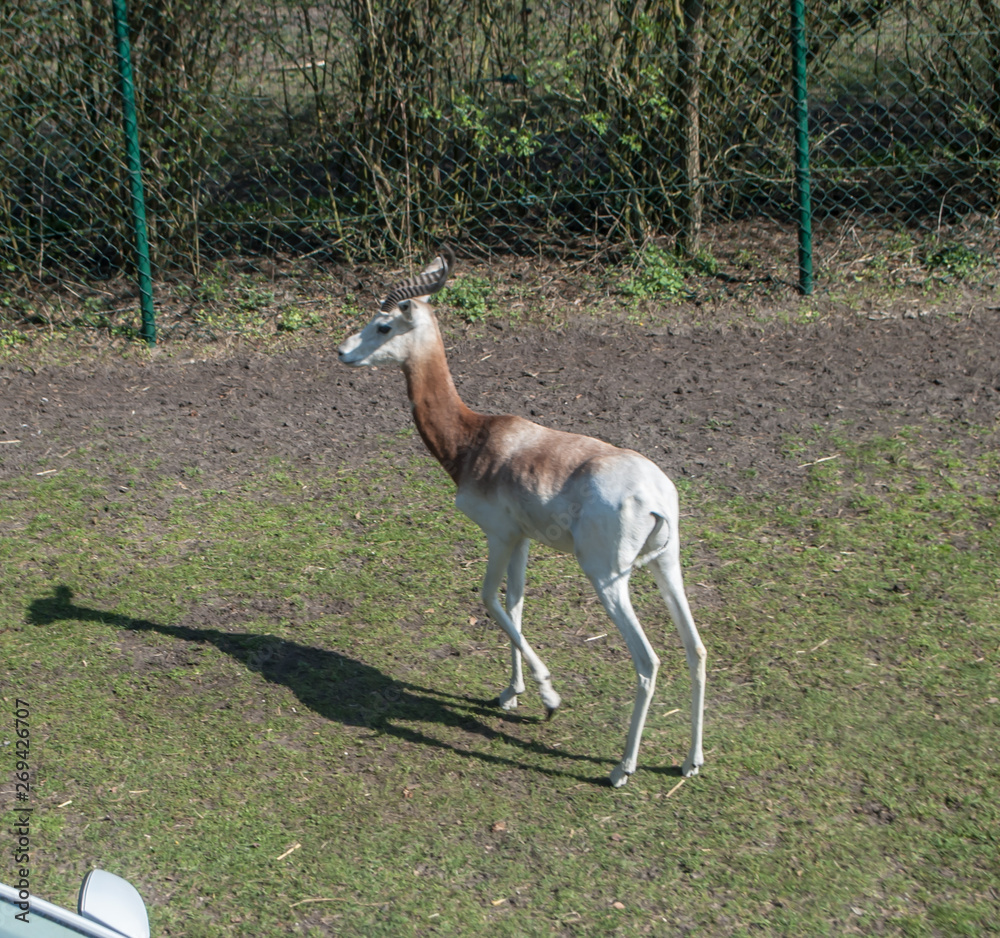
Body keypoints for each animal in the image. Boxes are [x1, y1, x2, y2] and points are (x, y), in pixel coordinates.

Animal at [337, 247, 706, 787]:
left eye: (383, 325)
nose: (343, 352)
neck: (474, 439)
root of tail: (656, 495)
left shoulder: (498, 535)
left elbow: (489, 599)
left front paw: (549, 696)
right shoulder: (524, 540)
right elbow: (515, 605)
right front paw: (512, 693)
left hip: (608, 578)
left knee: (648, 661)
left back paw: (622, 767)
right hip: (666, 564)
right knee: (696, 649)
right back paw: (691, 760)